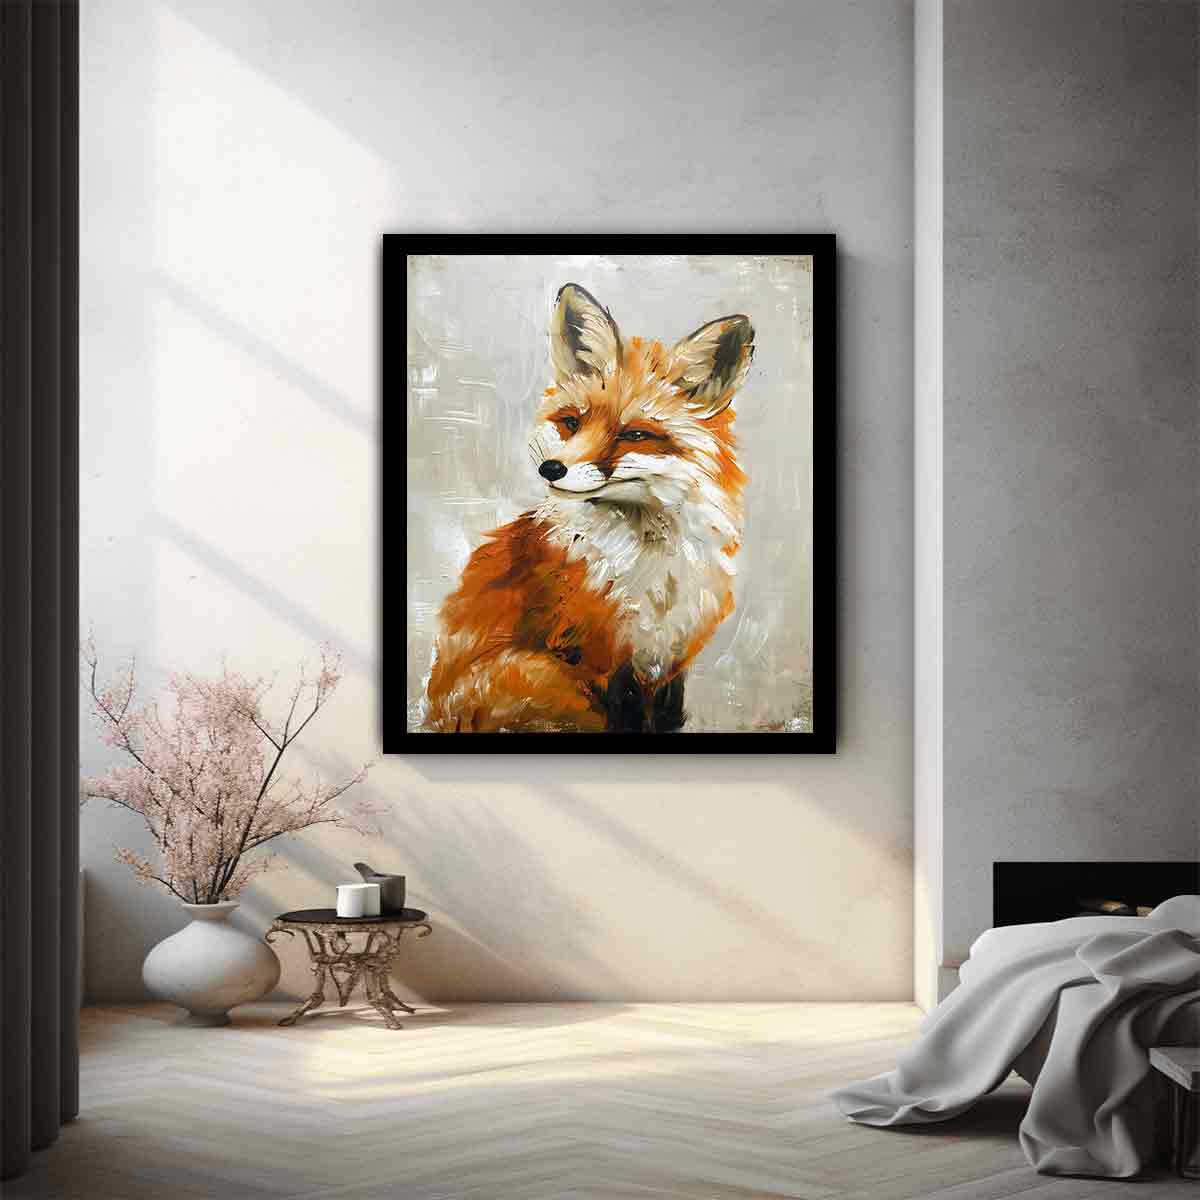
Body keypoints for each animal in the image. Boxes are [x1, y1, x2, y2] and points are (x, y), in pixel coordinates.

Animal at [424, 283, 754, 734]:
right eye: (572, 424)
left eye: (635, 435)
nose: (551, 468)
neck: (649, 566)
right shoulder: (598, 655)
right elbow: (626, 719)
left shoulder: (669, 655)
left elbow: (664, 718)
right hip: (535, 674)